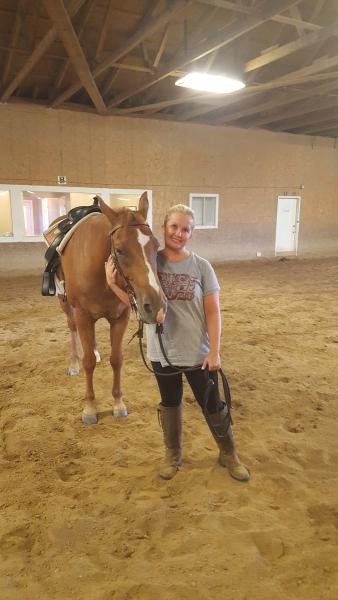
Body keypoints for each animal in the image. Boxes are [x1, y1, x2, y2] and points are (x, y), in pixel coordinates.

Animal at [56, 192, 166, 422]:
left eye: (156, 245)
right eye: (121, 250)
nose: (155, 306)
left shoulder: (120, 317)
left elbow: (117, 360)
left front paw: (118, 402)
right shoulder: (82, 315)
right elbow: (88, 362)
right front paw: (90, 407)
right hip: (65, 303)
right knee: (72, 329)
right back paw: (73, 363)